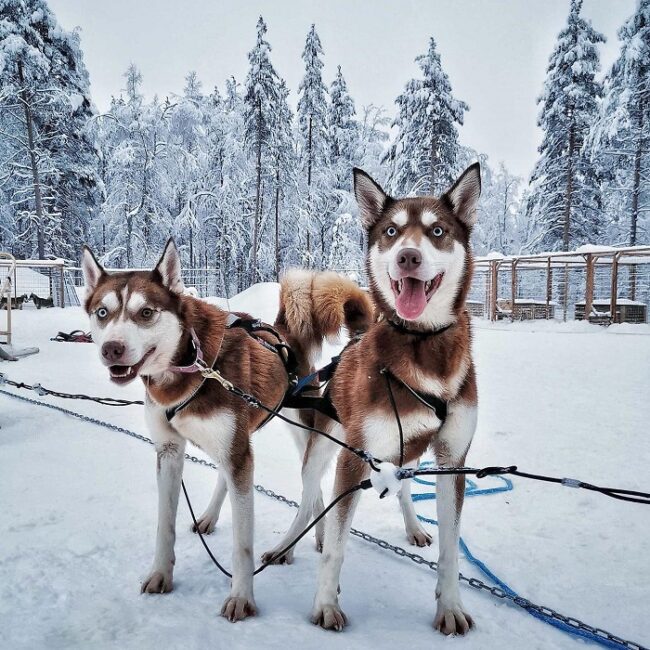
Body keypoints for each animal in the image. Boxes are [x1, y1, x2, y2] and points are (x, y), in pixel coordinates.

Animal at [81, 242, 370, 616]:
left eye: (146, 312)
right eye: (102, 312)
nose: (111, 349)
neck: (192, 365)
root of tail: (284, 332)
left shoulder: (239, 455)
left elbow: (242, 543)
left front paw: (241, 598)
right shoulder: (171, 452)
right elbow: (164, 525)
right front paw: (160, 574)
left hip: (302, 430)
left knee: (313, 488)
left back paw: (311, 538)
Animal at [266, 163, 478, 632]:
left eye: (437, 230)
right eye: (391, 231)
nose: (408, 257)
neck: (421, 349)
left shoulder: (453, 460)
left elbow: (451, 550)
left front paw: (451, 606)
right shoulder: (354, 457)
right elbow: (336, 546)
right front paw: (326, 604)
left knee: (403, 489)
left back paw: (414, 525)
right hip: (323, 448)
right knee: (308, 499)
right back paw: (286, 544)